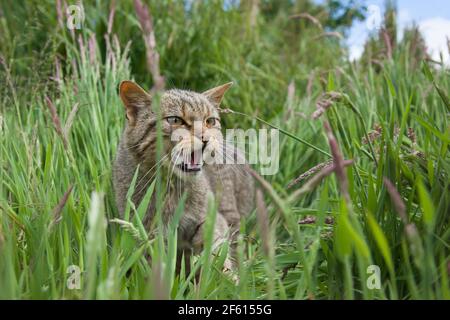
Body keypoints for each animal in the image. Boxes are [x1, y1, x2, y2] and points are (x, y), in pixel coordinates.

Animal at [113, 81, 253, 272]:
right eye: (175, 120)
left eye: (210, 121)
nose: (205, 137)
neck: (173, 187)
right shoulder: (149, 233)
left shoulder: (212, 220)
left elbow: (217, 257)